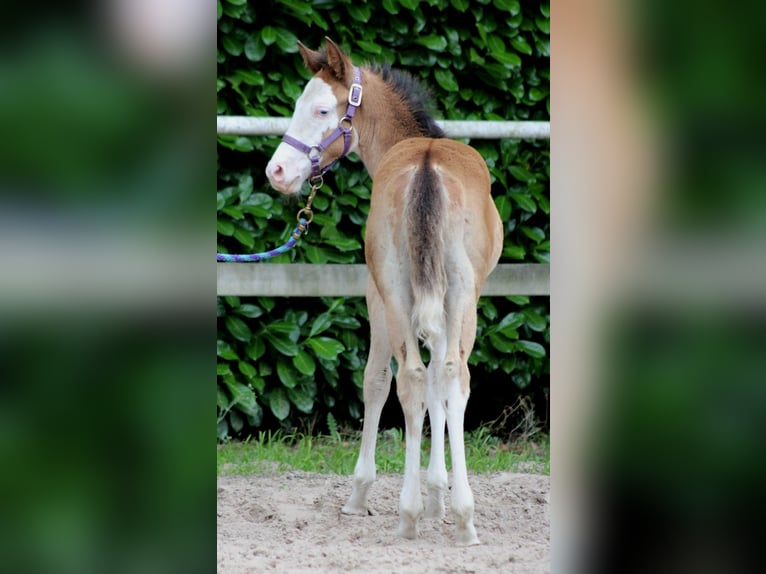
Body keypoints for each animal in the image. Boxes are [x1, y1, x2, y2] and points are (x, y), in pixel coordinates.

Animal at [266, 38, 504, 548]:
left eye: (321, 109)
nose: (276, 171)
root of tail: (426, 168)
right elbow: (425, 383)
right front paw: (433, 496)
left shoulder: (381, 298)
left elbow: (381, 381)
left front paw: (392, 494)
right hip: (451, 297)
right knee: (440, 376)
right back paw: (442, 515)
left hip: (413, 295)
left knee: (427, 376)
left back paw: (431, 513)